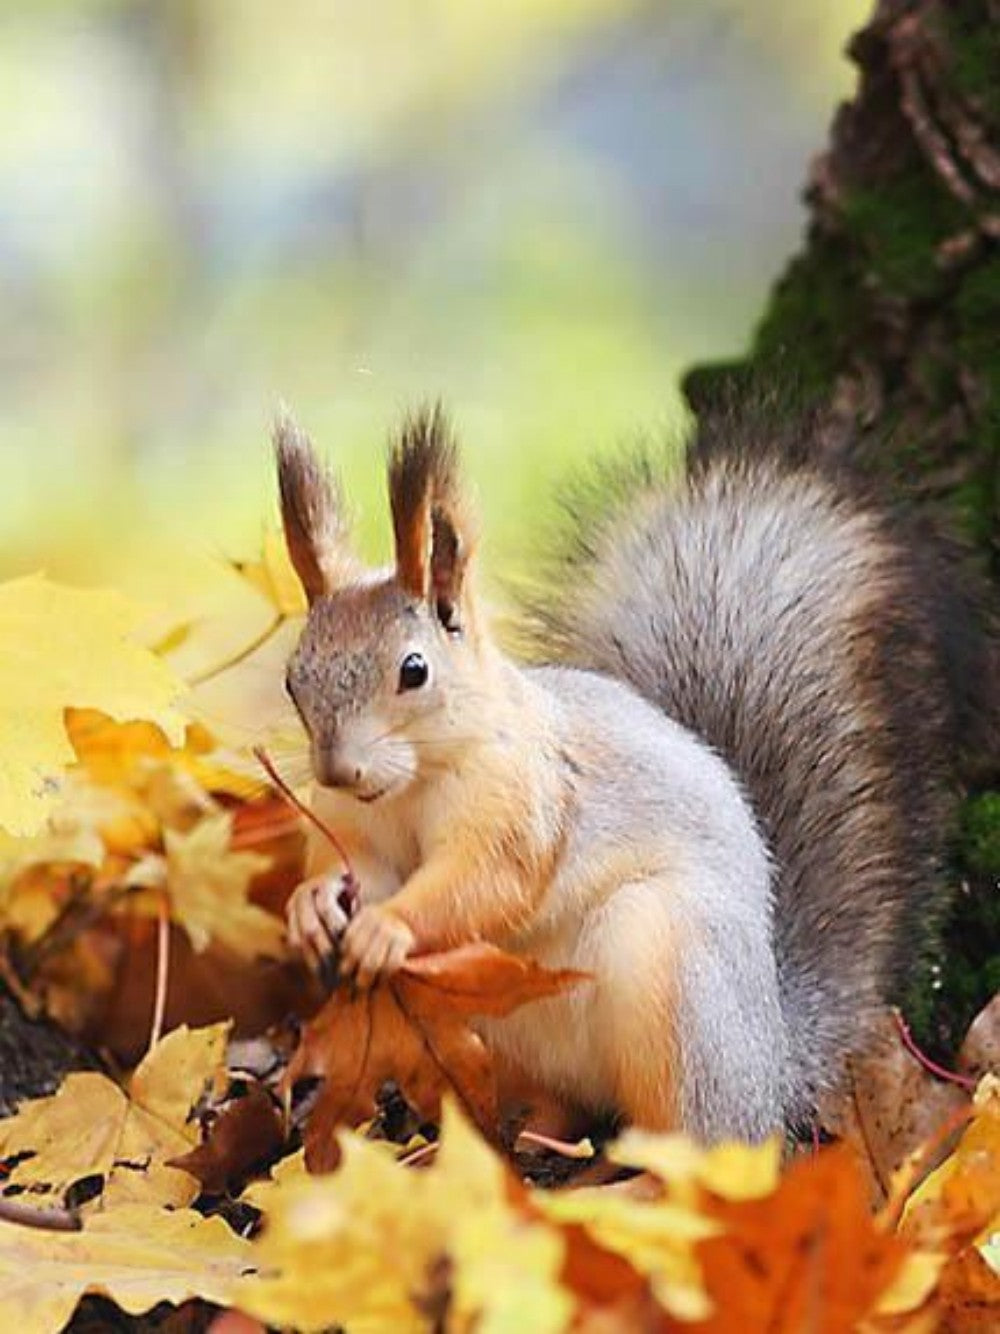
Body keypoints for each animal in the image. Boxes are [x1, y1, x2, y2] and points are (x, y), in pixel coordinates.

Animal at [275, 399, 995, 1143]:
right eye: (293, 679)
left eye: (413, 671)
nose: (338, 770)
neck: (411, 784)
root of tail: (772, 1066)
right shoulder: (354, 827)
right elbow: (360, 870)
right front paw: (311, 906)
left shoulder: (524, 801)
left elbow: (485, 882)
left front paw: (388, 926)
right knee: (560, 1105)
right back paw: (529, 1133)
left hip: (667, 973)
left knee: (698, 1132)